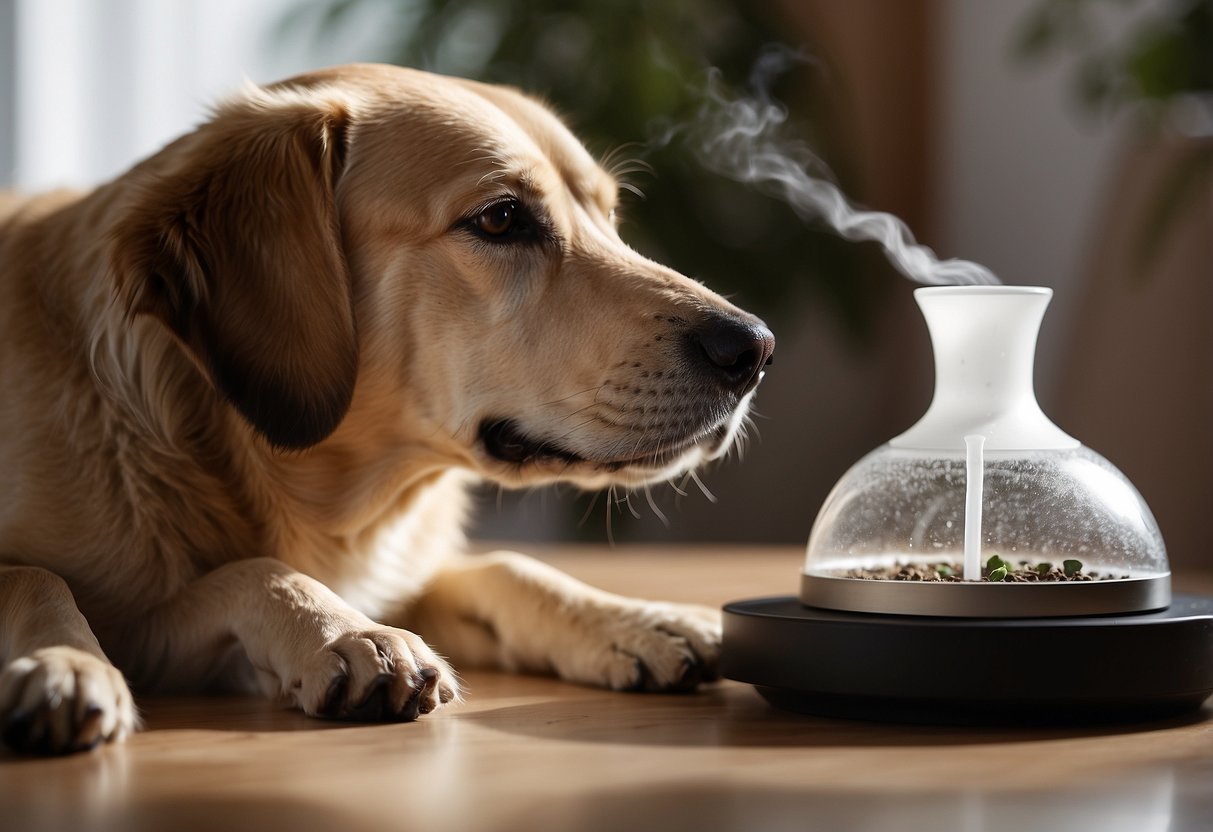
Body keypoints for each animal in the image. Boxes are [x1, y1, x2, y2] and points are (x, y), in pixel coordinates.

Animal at [0, 65, 776, 756]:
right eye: (501, 218)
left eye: (609, 218)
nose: (754, 349)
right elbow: (42, 576)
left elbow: (507, 567)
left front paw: (636, 620)